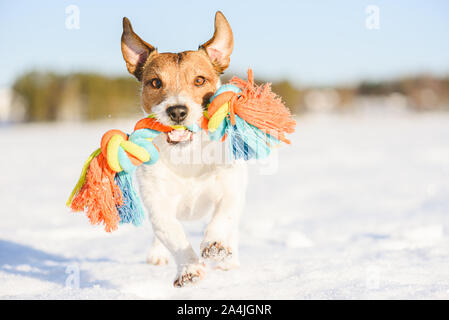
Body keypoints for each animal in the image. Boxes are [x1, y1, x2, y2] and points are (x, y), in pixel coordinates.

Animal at [121, 11, 247, 288]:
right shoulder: (159, 205)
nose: (177, 111)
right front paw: (189, 269)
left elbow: (224, 216)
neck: (187, 155)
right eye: (155, 82)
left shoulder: (230, 187)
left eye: (199, 80)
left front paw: (216, 244)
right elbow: (174, 235)